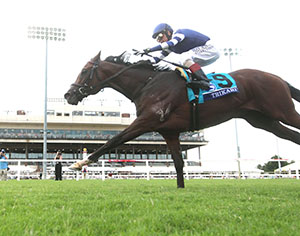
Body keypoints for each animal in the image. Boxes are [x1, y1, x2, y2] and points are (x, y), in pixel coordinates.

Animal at [64, 51, 300, 188]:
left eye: (84, 71)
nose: (68, 94)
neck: (148, 83)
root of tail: (279, 79)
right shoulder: (169, 131)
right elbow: (178, 162)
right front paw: (180, 188)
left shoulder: (146, 121)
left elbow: (114, 140)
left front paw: (80, 162)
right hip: (264, 121)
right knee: (293, 136)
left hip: (283, 112)